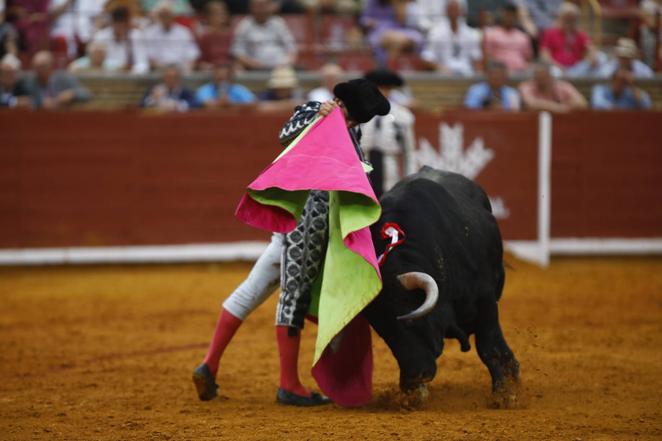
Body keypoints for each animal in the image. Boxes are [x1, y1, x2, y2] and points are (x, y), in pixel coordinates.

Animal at [366, 167, 520, 398]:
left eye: (410, 322)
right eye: (382, 332)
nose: (413, 378)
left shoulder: (486, 299)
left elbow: (489, 347)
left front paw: (505, 393)